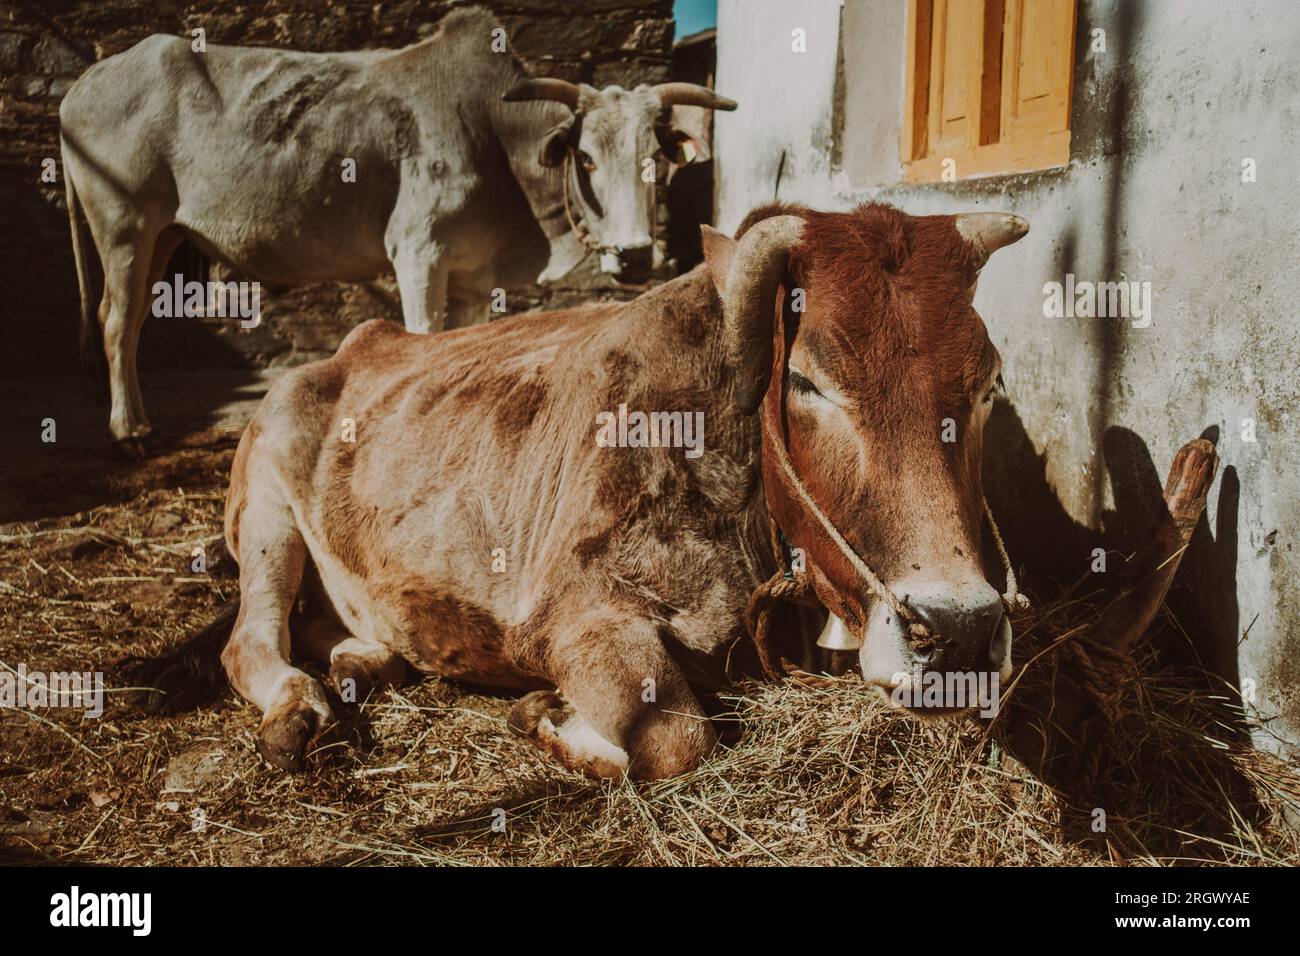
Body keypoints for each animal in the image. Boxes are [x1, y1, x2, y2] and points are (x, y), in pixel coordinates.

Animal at [61, 6, 738, 447]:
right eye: (587, 157)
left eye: (655, 159)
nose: (635, 254)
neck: (493, 137)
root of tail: (85, 83)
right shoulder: (419, 254)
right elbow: (419, 344)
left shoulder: (470, 280)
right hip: (124, 229)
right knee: (116, 320)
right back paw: (128, 431)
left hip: (163, 238)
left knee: (135, 321)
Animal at [170, 200, 1024, 780]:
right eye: (809, 381)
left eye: (988, 383)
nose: (961, 631)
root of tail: (355, 344)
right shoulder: (567, 615)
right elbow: (673, 737)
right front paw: (546, 715)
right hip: (265, 518)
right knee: (251, 643)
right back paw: (298, 707)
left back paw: (363, 662)